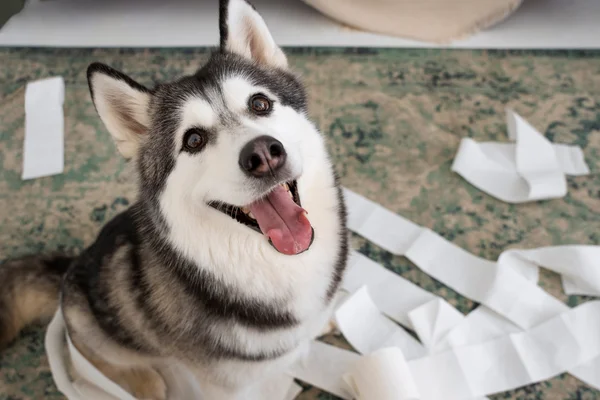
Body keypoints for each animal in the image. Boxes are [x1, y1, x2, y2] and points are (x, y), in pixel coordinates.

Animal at [0, 0, 346, 400]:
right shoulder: (227, 385)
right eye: (193, 140)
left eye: (260, 104)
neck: (272, 264)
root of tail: (70, 270)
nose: (263, 154)